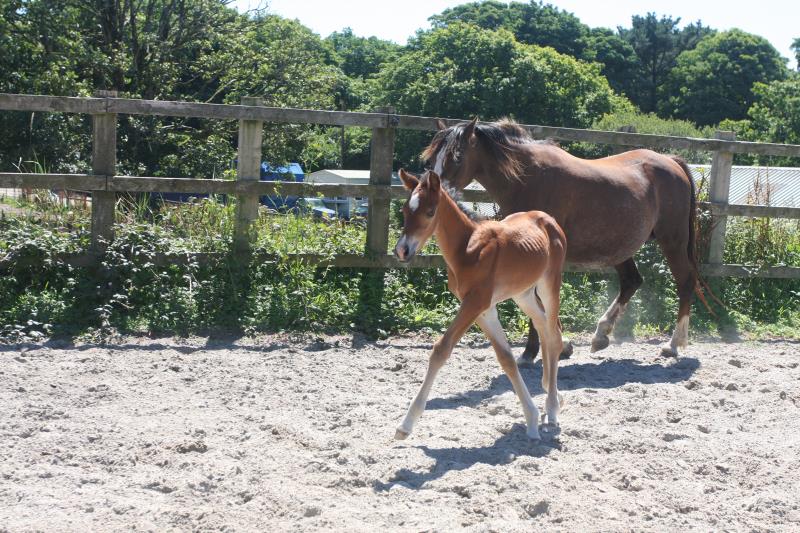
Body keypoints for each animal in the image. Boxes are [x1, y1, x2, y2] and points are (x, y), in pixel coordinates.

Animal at [392, 169, 564, 440]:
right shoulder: (484, 308)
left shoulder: (475, 303)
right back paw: (550, 391)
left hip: (549, 284)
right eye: (405, 210)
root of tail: (548, 219)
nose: (402, 250)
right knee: (544, 327)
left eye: (430, 212)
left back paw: (554, 409)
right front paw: (531, 419)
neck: (467, 249)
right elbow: (506, 358)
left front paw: (406, 425)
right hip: (523, 294)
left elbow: (441, 350)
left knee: (555, 335)